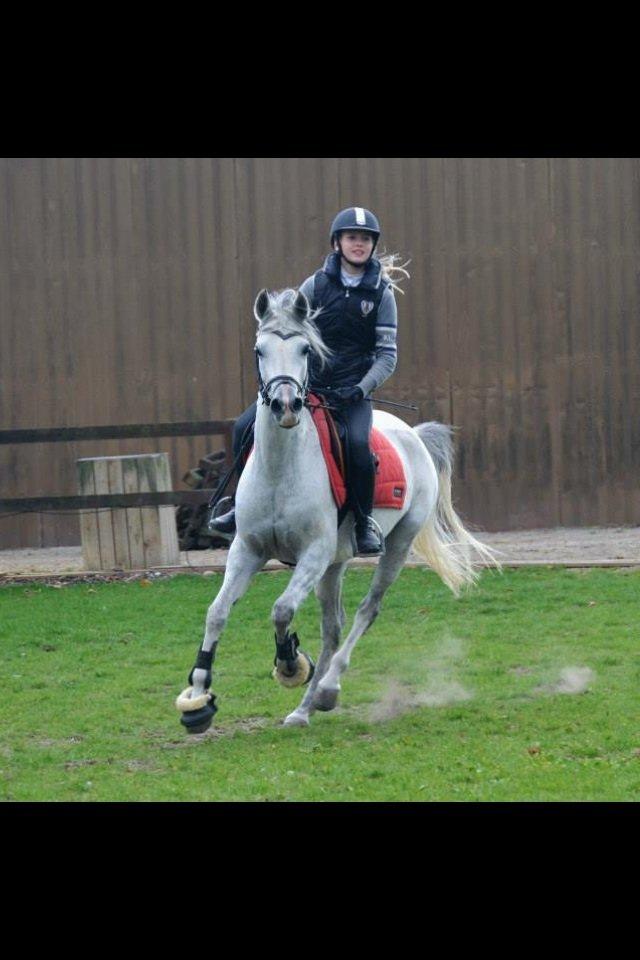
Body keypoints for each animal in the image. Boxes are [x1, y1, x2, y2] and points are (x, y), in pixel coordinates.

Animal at [175, 287, 498, 731]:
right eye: (259, 350)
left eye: (305, 349)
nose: (286, 406)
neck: (281, 468)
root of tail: (413, 435)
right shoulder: (248, 549)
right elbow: (217, 612)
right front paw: (198, 697)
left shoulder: (313, 553)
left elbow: (282, 610)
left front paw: (291, 664)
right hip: (335, 563)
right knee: (333, 625)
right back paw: (305, 708)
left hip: (394, 546)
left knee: (366, 611)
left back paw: (326, 688)